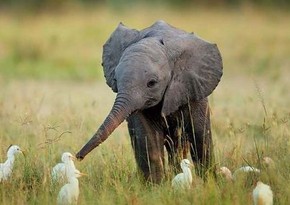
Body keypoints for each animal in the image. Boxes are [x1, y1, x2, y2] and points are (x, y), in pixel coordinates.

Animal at [76, 20, 223, 183]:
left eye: (151, 83)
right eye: (115, 80)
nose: (78, 157)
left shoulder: (193, 87)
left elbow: (200, 137)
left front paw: (209, 183)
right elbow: (148, 138)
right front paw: (156, 186)